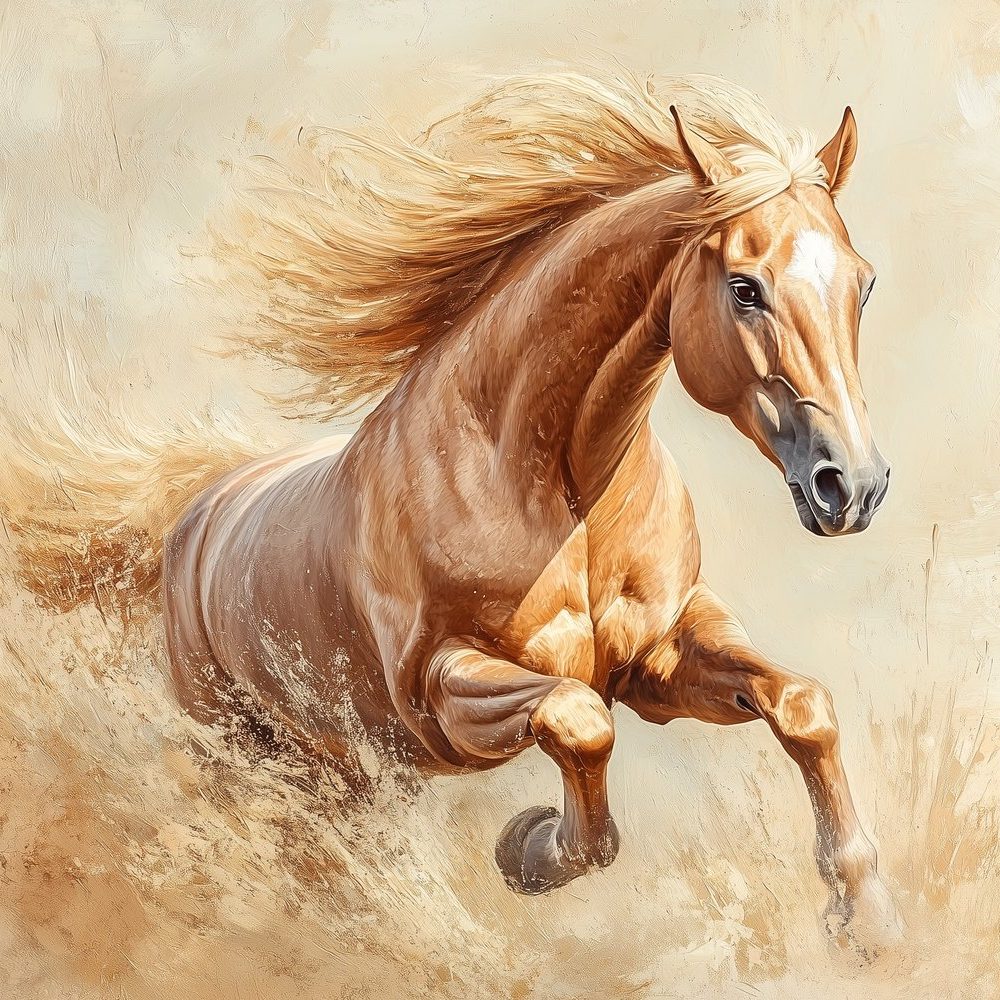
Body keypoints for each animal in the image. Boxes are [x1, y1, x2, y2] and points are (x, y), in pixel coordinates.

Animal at [8, 72, 899, 940]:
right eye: (745, 288)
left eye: (865, 284)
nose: (852, 486)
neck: (560, 492)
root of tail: (199, 510)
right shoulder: (441, 689)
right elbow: (579, 720)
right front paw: (532, 849)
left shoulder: (661, 656)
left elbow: (803, 705)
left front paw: (864, 912)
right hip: (249, 754)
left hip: (351, 771)